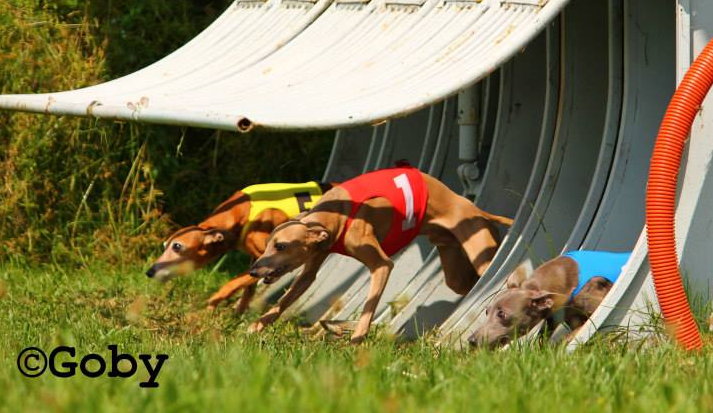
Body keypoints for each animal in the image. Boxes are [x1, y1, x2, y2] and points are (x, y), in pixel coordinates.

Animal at [146, 181, 334, 312]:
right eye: (165, 246)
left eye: (177, 246)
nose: (149, 272)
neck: (242, 213)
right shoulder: (257, 259)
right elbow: (247, 291)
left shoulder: (272, 262)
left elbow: (231, 285)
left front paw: (206, 311)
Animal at [247, 166, 514, 343]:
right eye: (268, 244)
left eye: (281, 246)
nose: (253, 270)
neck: (336, 210)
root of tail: (477, 210)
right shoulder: (312, 266)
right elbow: (284, 300)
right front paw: (255, 326)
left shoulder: (381, 265)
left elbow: (369, 305)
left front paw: (356, 339)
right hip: (455, 270)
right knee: (466, 284)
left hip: (480, 254)